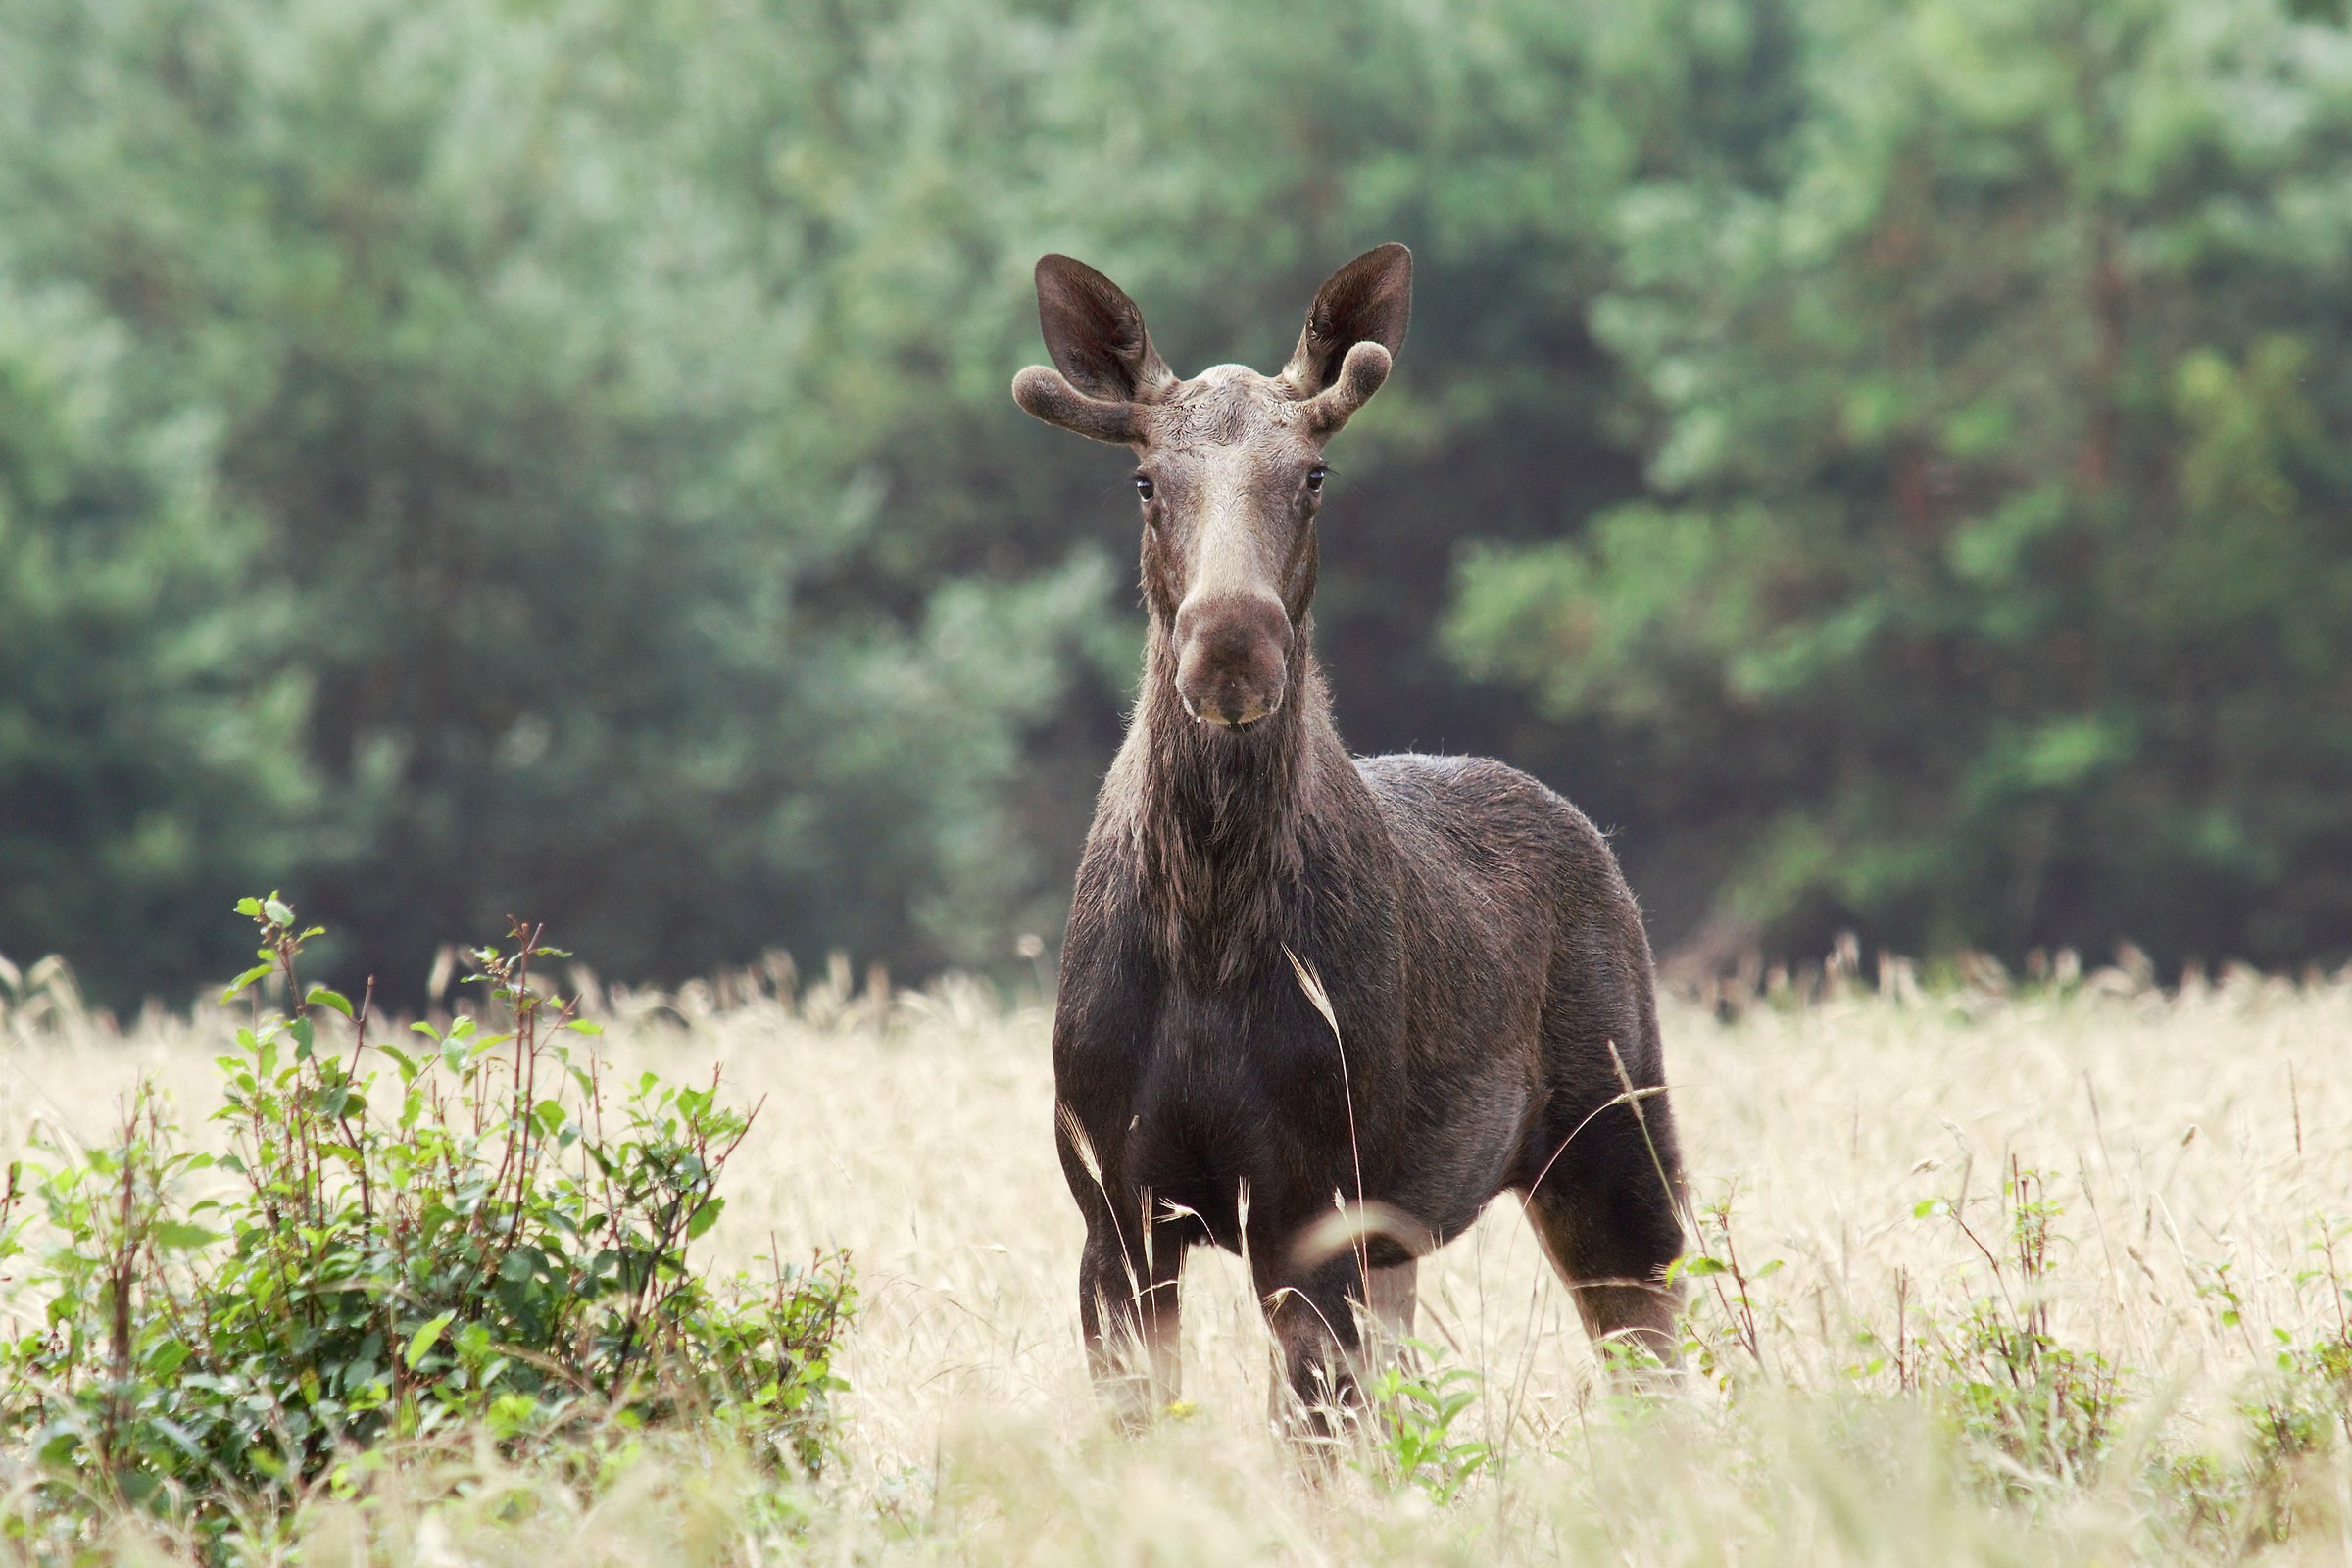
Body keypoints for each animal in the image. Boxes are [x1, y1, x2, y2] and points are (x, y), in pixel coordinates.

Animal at [1013, 243, 1687, 1433]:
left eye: (1315, 475)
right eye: (1145, 481)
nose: (1231, 644)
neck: (1208, 936)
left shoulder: (1312, 1200)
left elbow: (1315, 1440)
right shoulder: (1114, 1209)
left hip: (1616, 1132)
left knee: (1659, 1350)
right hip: (1407, 1233)